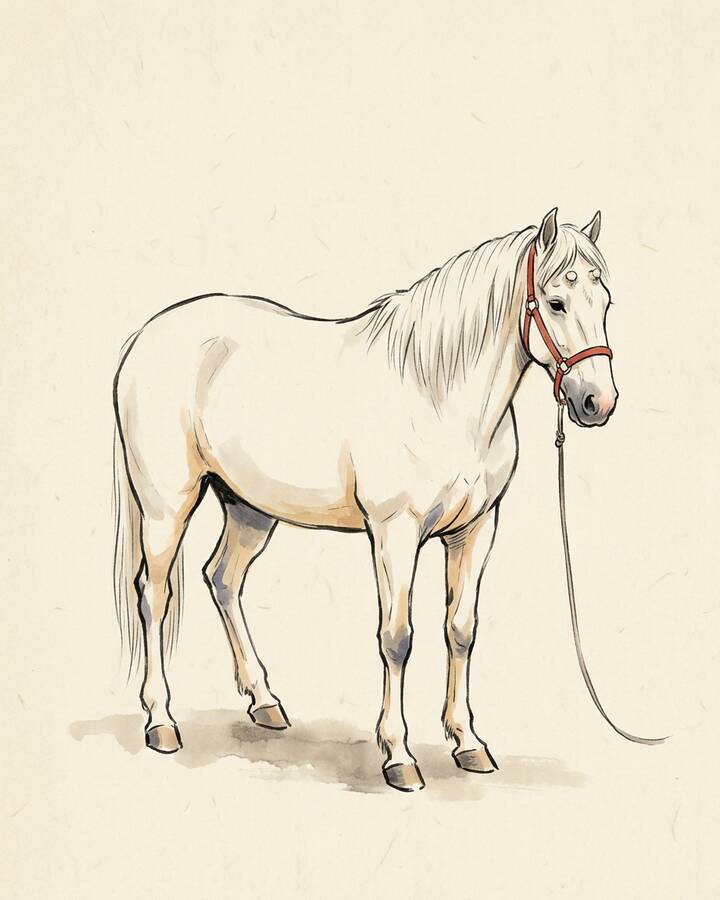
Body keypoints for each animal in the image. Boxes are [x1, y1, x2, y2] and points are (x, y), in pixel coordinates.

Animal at [112, 207, 616, 792]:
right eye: (556, 302)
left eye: (605, 302)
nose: (598, 402)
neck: (438, 393)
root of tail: (145, 336)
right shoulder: (396, 533)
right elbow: (397, 638)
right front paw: (399, 756)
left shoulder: (475, 530)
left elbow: (461, 630)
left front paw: (467, 743)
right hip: (166, 506)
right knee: (154, 594)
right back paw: (161, 722)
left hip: (249, 507)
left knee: (222, 578)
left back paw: (265, 702)